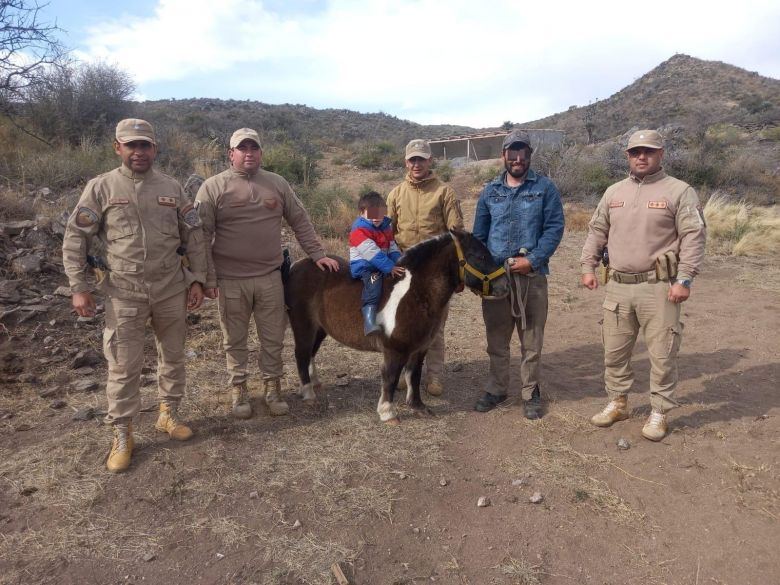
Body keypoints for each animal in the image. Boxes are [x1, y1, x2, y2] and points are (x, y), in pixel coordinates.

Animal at [286, 228, 512, 424]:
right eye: (478, 256)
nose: (504, 286)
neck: (415, 294)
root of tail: (297, 265)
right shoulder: (394, 350)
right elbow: (391, 377)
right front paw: (388, 413)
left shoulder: (419, 348)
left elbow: (414, 375)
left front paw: (418, 407)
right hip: (304, 326)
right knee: (301, 354)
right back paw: (308, 393)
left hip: (320, 329)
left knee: (310, 353)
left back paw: (313, 384)